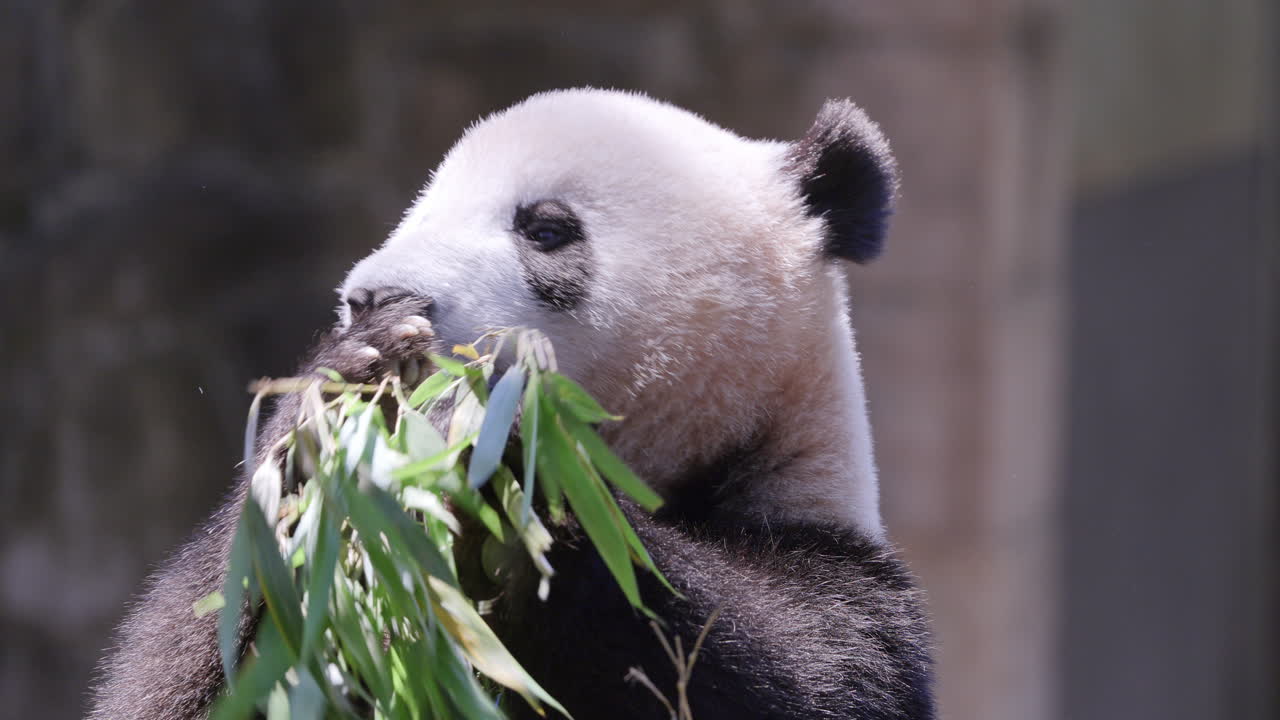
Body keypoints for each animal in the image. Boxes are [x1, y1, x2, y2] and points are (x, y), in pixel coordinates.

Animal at [89, 88, 934, 720]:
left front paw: (498, 489)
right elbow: (202, 658)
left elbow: (757, 655)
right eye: (418, 212)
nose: (375, 296)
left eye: (546, 228)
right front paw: (348, 386)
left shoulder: (847, 597)